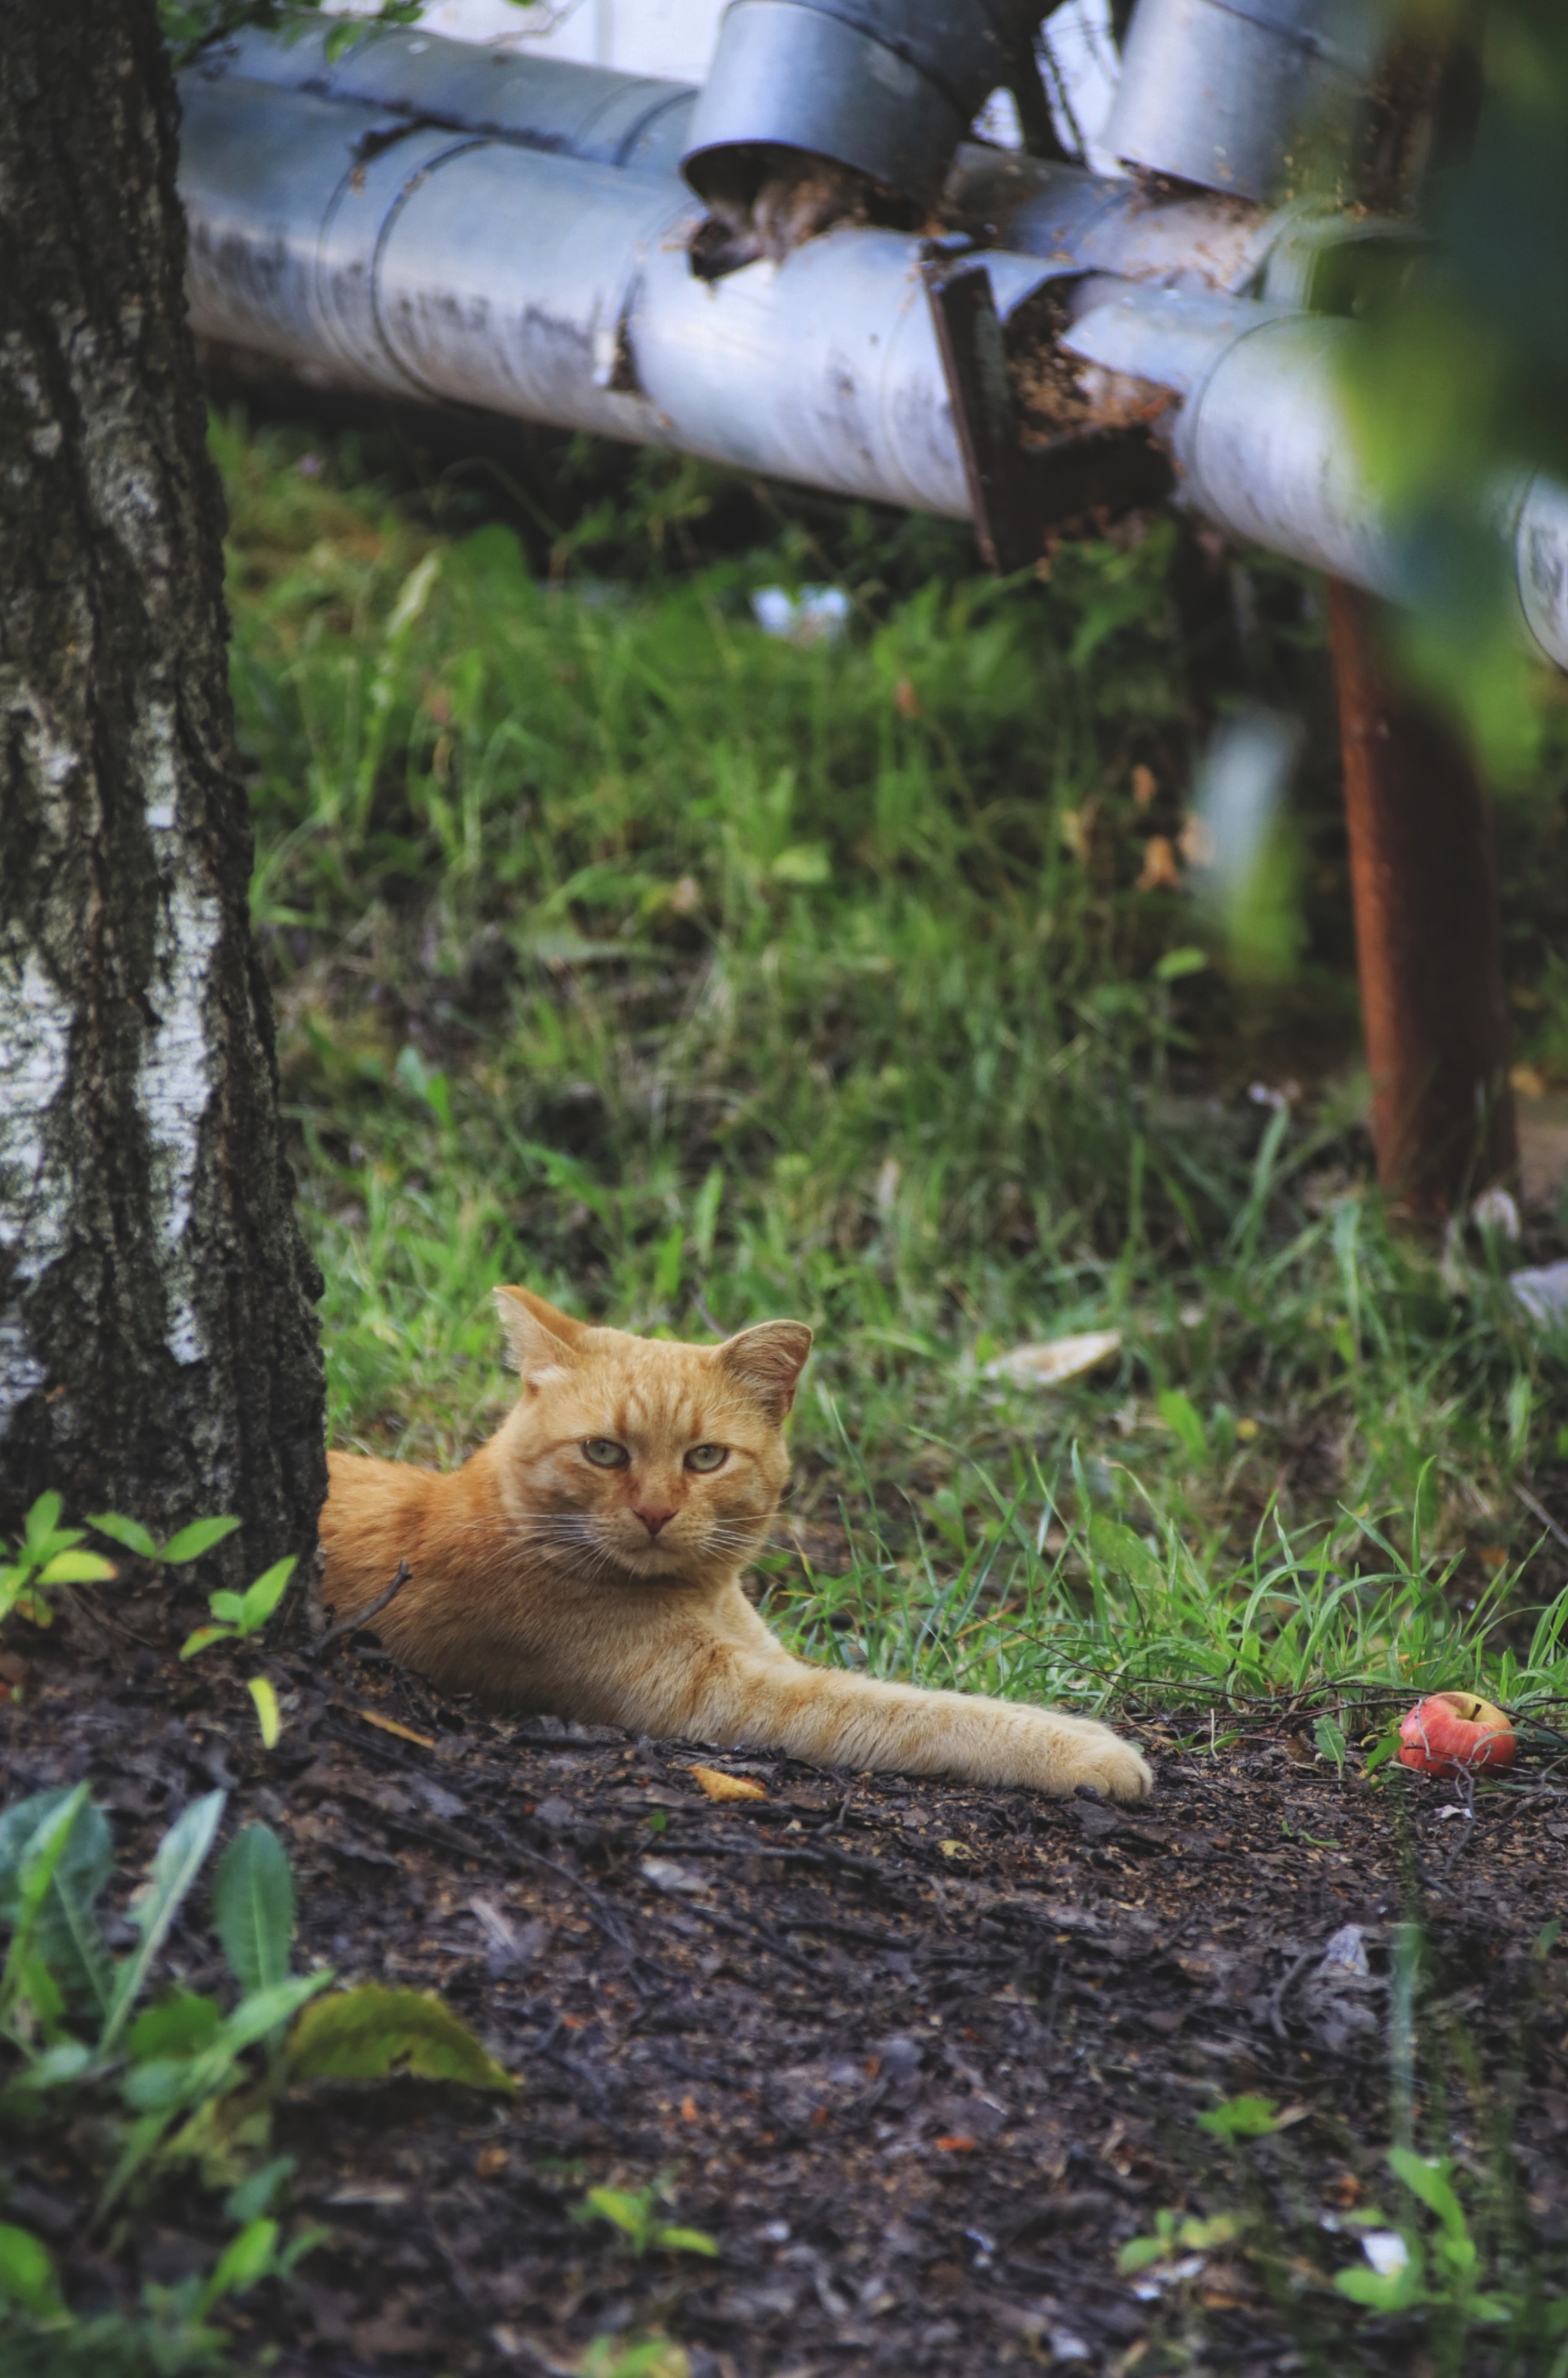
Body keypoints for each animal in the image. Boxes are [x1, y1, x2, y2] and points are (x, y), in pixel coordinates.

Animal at [318, 1303, 1149, 1797]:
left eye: (706, 1458)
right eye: (603, 1452)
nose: (655, 1512)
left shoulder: (763, 1657)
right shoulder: (727, 1696)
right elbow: (913, 1708)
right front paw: (1089, 1748)